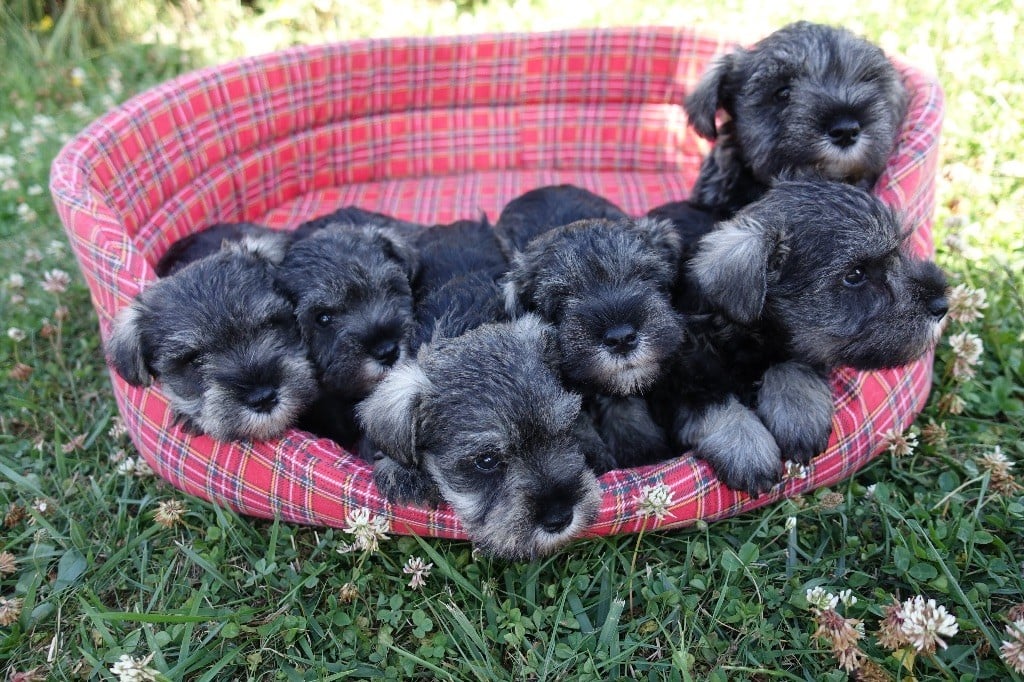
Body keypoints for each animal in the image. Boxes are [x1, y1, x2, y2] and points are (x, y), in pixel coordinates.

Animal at [651, 180, 946, 493]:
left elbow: (792, 365)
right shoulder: (677, 382)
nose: (942, 304)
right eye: (855, 275)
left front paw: (799, 417)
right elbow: (712, 404)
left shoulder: (799, 348)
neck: (749, 340)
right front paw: (747, 450)